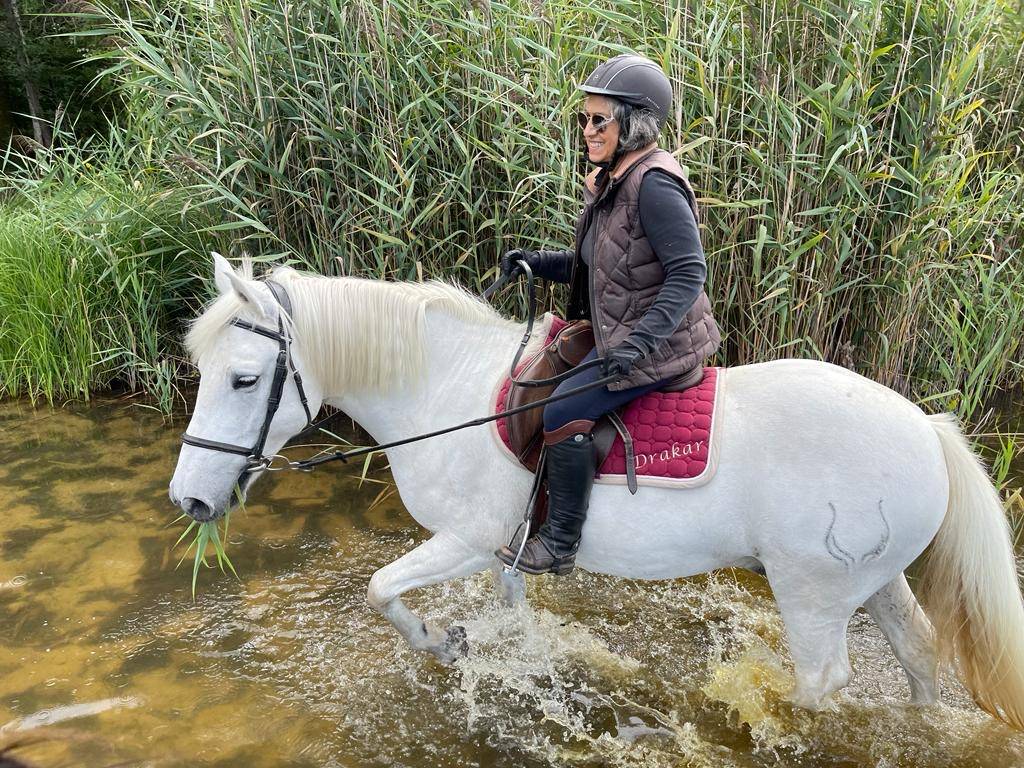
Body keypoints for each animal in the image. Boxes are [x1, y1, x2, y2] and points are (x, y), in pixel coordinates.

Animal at [169, 254, 1024, 731]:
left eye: (243, 379)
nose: (191, 503)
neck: (443, 390)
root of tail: (928, 432)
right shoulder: (505, 548)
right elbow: (513, 613)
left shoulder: (466, 541)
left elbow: (381, 590)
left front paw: (441, 642)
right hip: (875, 579)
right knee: (919, 655)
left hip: (813, 592)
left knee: (822, 684)